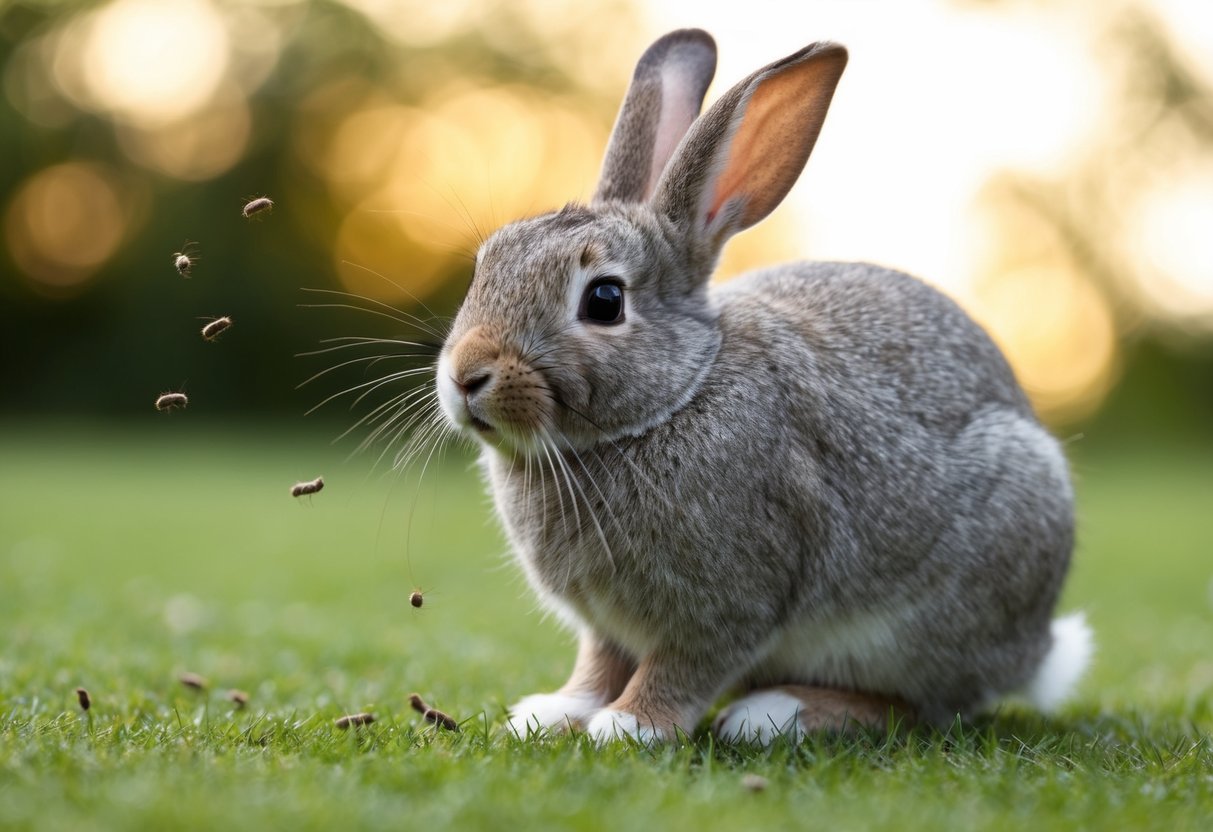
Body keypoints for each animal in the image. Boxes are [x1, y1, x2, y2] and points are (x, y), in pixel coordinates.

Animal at [434, 27, 1091, 751]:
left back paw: (774, 713)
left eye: (604, 301)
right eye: (487, 261)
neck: (673, 398)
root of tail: (1035, 653)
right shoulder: (607, 624)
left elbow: (683, 666)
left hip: (937, 613)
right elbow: (598, 663)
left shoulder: (729, 599)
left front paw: (630, 726)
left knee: (920, 706)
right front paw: (553, 712)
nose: (465, 375)